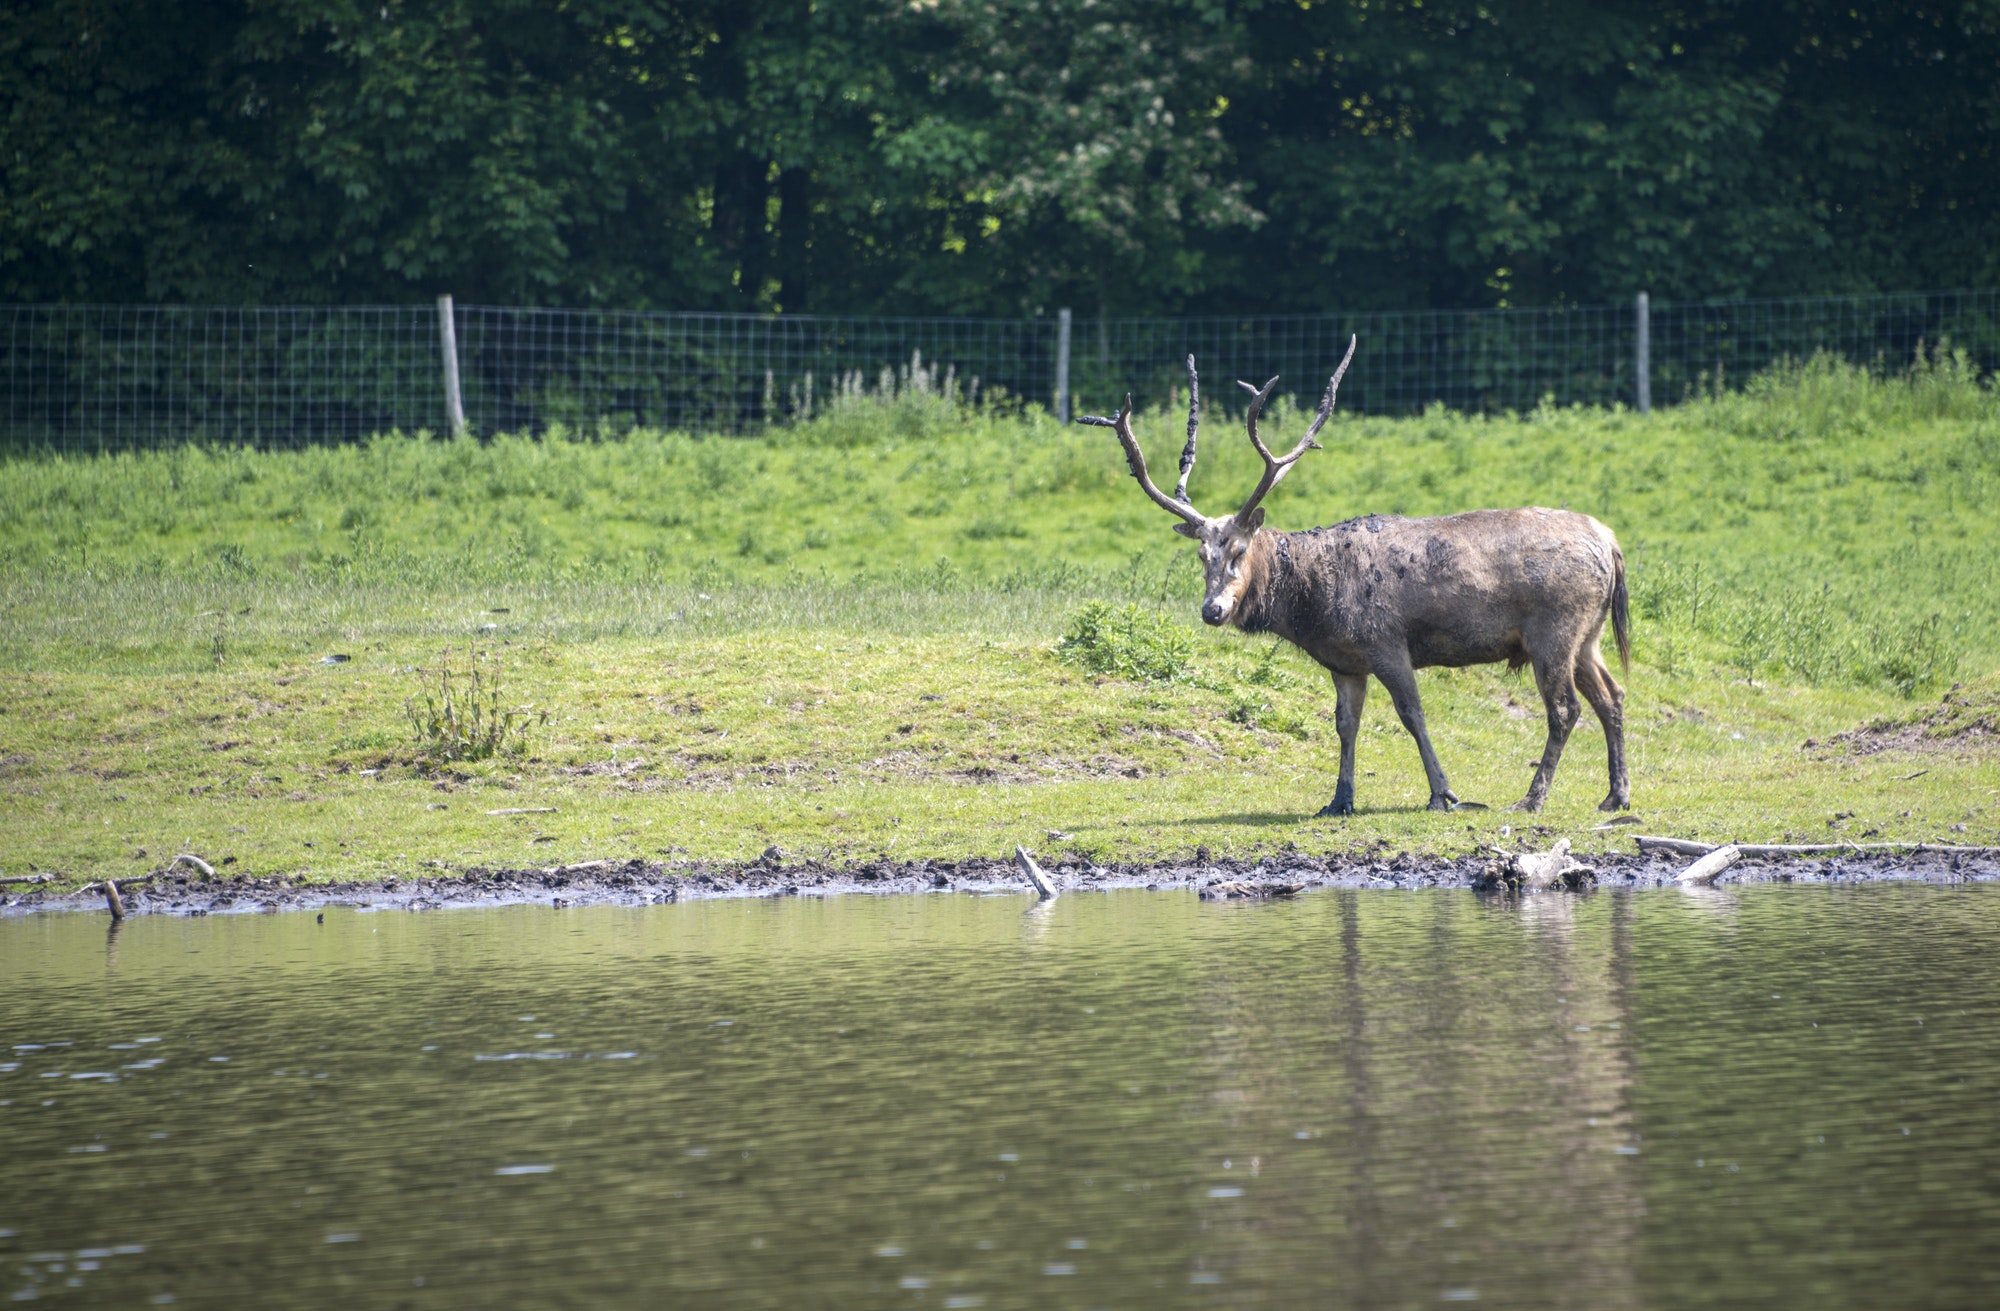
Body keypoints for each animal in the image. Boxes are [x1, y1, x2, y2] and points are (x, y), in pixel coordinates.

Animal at [1080, 335, 1624, 807]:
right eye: (1201, 556)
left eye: (1238, 549)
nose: (1212, 610)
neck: (1314, 610)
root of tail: (1611, 542)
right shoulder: (1344, 662)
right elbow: (1345, 725)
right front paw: (1339, 800)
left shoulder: (1387, 641)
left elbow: (1413, 715)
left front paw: (1444, 794)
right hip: (1588, 635)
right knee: (1612, 696)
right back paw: (1615, 796)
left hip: (1553, 628)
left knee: (1565, 709)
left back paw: (1533, 798)